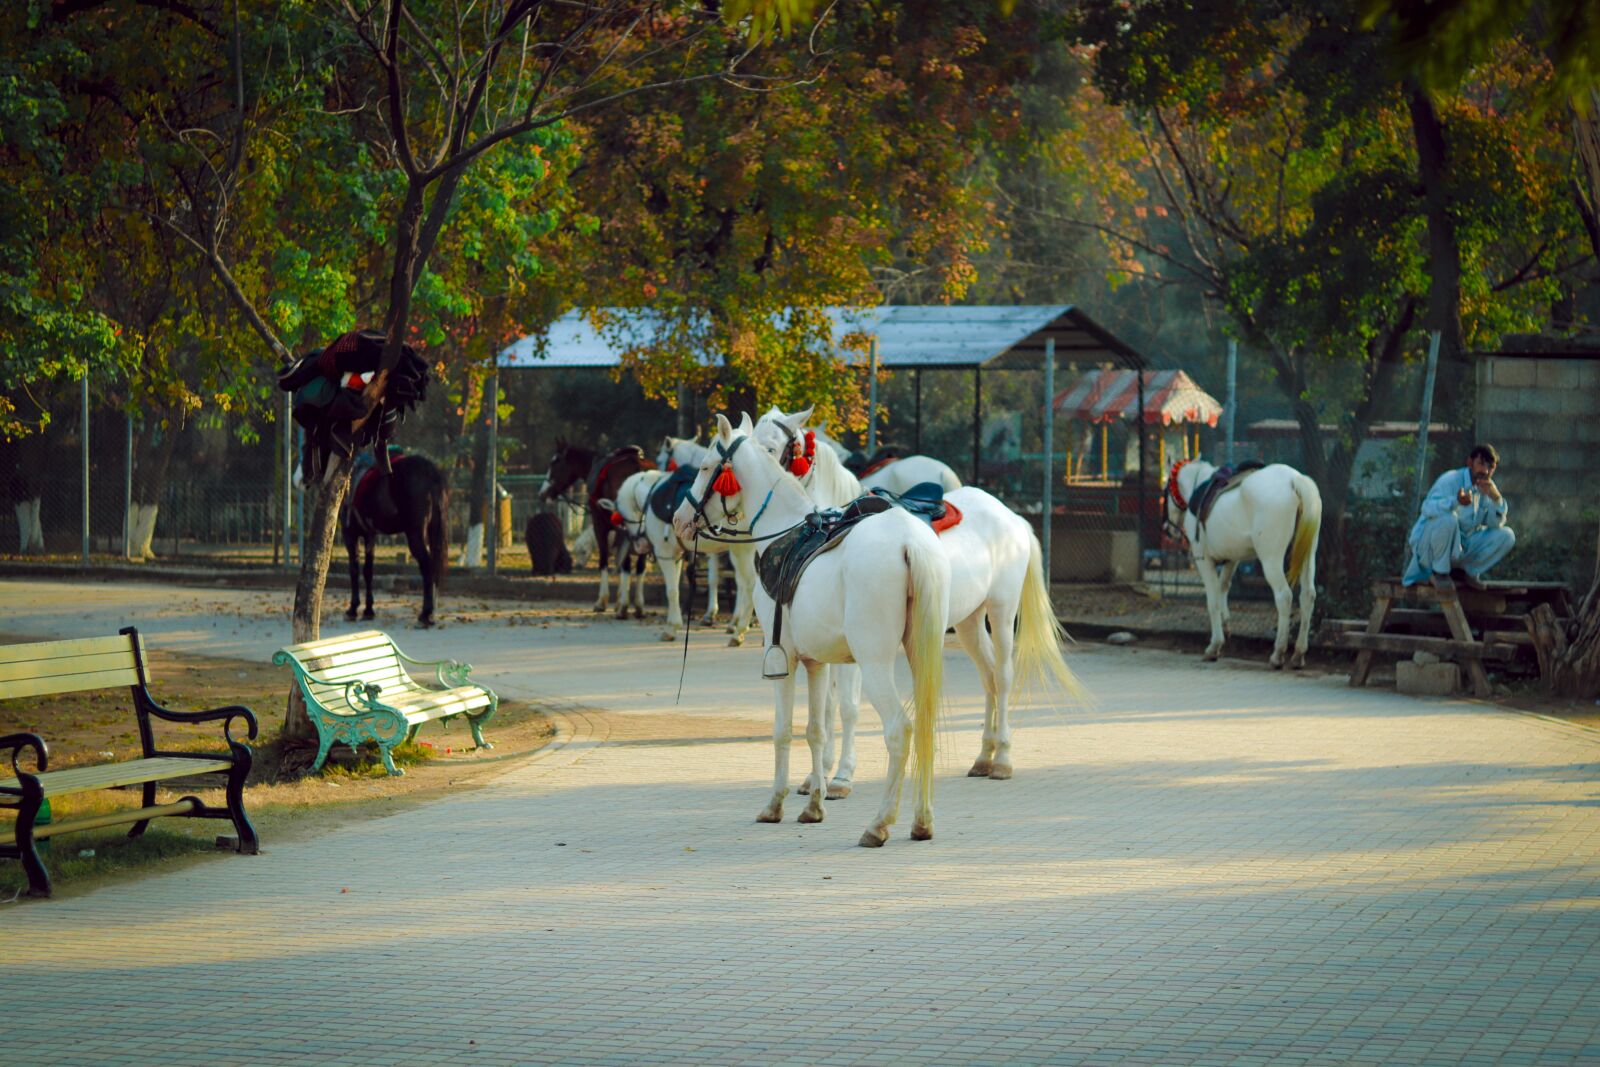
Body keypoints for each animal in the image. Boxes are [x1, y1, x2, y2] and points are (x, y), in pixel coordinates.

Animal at [342, 453, 450, 627]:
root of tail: (430, 471)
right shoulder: (370, 536)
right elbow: (368, 571)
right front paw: (368, 610)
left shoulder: (349, 535)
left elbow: (354, 570)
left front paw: (352, 609)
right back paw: (431, 611)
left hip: (415, 534)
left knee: (427, 566)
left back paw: (425, 614)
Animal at [539, 439, 653, 613]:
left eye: (555, 462)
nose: (542, 494)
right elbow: (619, 559)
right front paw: (619, 599)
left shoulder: (601, 525)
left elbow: (605, 559)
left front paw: (603, 601)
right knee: (640, 564)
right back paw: (638, 605)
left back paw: (625, 606)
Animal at [674, 411, 950, 847]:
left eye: (704, 467)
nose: (678, 520)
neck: (784, 531)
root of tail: (910, 542)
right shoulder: (817, 663)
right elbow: (817, 730)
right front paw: (814, 806)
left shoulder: (783, 659)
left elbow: (784, 730)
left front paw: (775, 804)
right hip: (922, 651)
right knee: (923, 725)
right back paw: (922, 821)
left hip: (874, 662)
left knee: (899, 729)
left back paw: (879, 824)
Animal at [756, 406, 1084, 792]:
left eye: (772, 446)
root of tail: (1012, 517)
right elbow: (829, 705)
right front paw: (816, 775)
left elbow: (845, 705)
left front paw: (839, 776)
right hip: (969, 621)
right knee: (988, 675)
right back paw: (983, 757)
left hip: (1001, 612)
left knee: (1002, 676)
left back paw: (1002, 759)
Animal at [1165, 458, 1322, 668]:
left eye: (1166, 490)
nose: (1168, 529)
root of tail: (1294, 479)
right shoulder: (1232, 559)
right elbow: (1223, 588)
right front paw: (1225, 628)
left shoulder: (1202, 558)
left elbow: (1213, 600)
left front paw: (1214, 646)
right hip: (1308, 554)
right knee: (1307, 596)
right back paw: (1298, 654)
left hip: (1270, 558)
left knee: (1284, 596)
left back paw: (1277, 654)